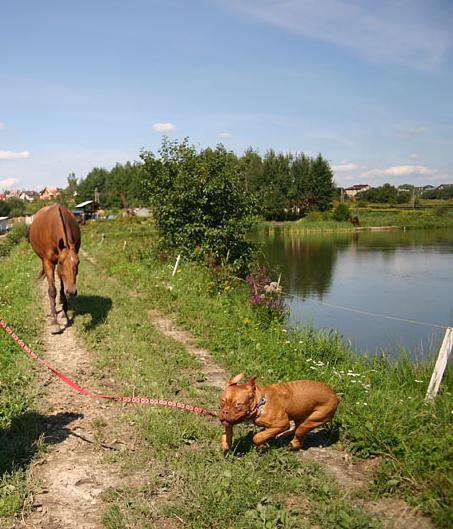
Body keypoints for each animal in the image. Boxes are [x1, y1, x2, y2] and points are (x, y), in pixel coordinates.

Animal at [27, 204, 81, 332]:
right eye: (61, 262)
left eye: (78, 262)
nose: (72, 292)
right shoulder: (49, 262)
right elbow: (52, 291)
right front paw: (55, 322)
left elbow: (61, 288)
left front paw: (65, 314)